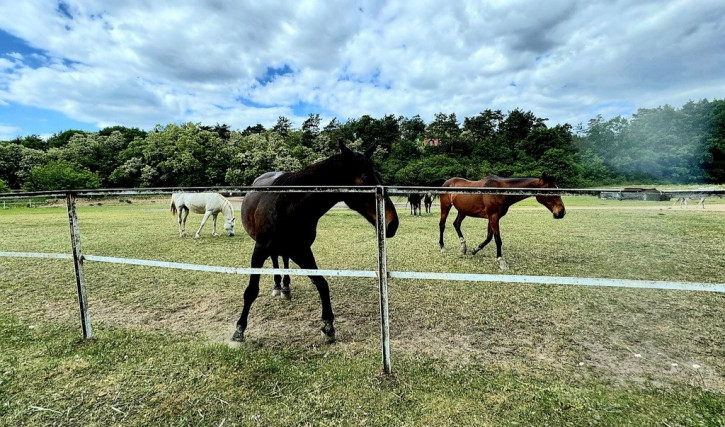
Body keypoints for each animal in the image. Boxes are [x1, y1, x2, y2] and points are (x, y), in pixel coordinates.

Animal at [235, 142, 398, 342]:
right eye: (365, 176)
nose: (392, 223)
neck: (287, 205)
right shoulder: (259, 250)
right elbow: (251, 290)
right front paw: (239, 330)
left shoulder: (301, 250)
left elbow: (321, 283)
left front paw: (328, 325)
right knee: (275, 260)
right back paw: (278, 286)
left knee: (282, 260)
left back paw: (285, 287)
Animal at [436, 172, 564, 270]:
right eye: (551, 192)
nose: (561, 212)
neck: (500, 191)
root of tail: (447, 182)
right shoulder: (493, 217)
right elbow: (497, 239)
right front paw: (501, 261)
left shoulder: (492, 218)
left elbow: (489, 237)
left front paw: (475, 250)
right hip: (446, 207)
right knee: (442, 225)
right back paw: (442, 247)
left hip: (463, 211)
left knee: (456, 224)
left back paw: (463, 248)